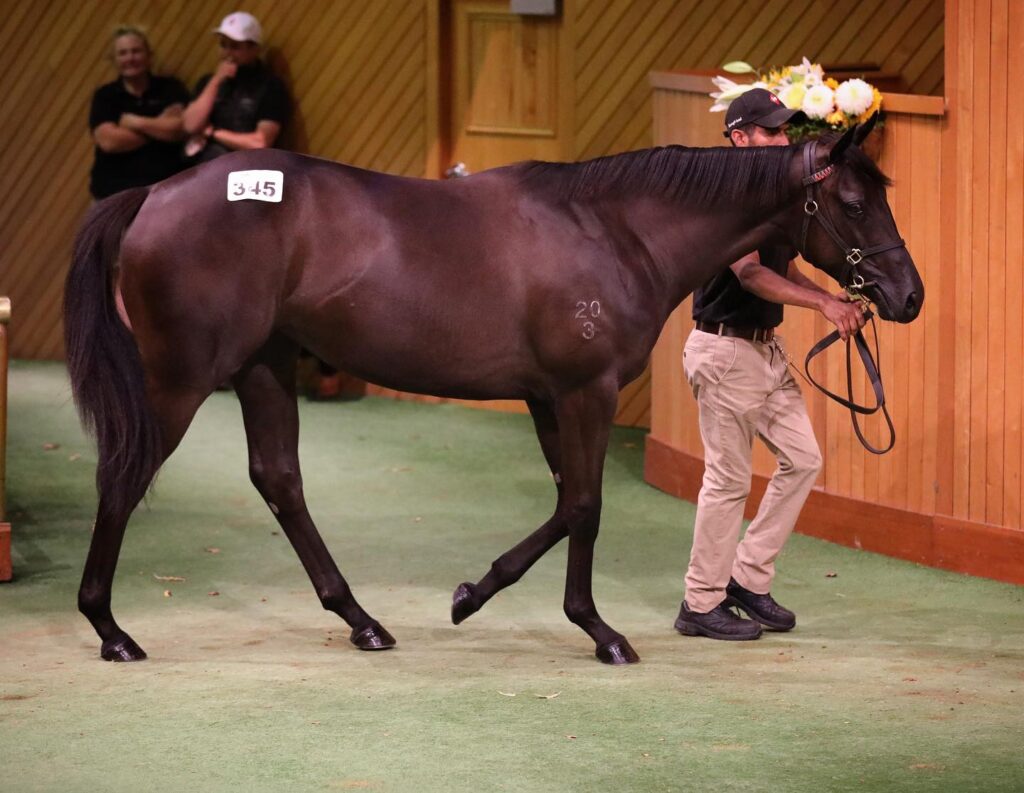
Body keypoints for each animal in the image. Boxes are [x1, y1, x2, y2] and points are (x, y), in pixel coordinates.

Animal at [64, 116, 922, 665]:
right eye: (853, 203)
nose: (906, 296)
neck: (614, 229)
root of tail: (154, 194)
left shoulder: (548, 397)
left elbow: (566, 502)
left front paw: (473, 593)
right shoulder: (584, 392)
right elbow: (585, 506)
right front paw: (597, 631)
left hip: (265, 366)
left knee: (279, 480)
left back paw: (362, 620)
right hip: (181, 380)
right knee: (123, 474)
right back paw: (110, 629)